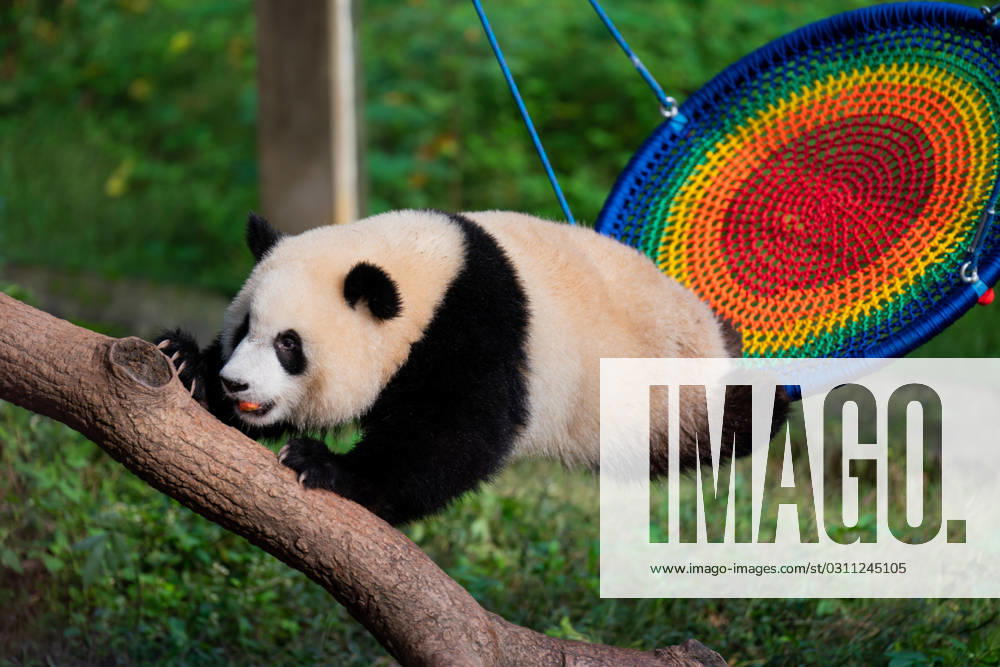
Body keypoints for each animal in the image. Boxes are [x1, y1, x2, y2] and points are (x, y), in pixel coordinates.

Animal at [157, 209, 774, 525]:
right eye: (242, 329)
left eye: (289, 344)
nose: (236, 382)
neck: (429, 268)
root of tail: (717, 335)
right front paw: (187, 364)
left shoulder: (477, 328)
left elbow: (457, 435)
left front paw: (325, 466)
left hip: (674, 392)